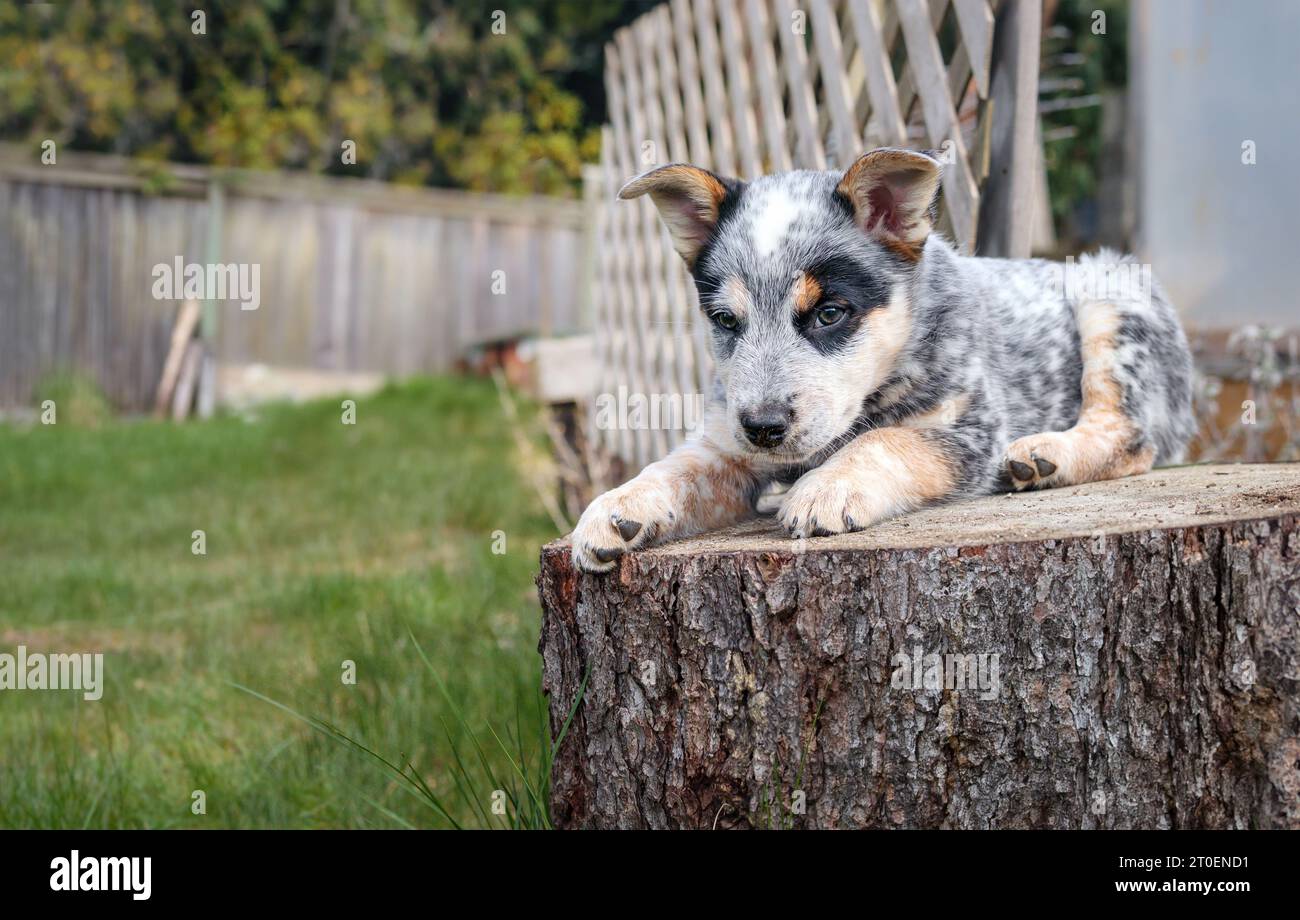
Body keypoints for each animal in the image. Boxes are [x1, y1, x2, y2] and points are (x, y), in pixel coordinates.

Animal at [574, 147, 1190, 571]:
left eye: (829, 314)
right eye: (726, 321)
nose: (764, 428)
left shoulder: (970, 430)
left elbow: (885, 439)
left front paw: (827, 486)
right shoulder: (726, 440)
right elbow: (675, 466)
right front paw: (616, 506)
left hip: (1108, 294)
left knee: (1133, 436)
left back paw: (1046, 455)